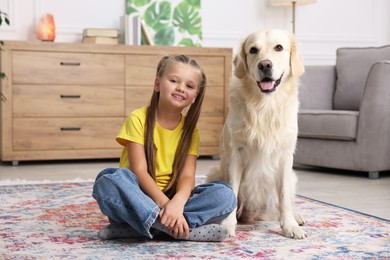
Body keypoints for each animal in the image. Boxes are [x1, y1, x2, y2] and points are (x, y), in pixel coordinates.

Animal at [209, 29, 306, 239]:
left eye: (279, 47)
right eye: (253, 50)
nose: (265, 65)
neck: (264, 105)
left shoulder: (285, 155)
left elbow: (284, 197)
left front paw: (290, 225)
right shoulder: (236, 152)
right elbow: (232, 192)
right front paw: (227, 225)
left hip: (292, 177)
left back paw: (296, 217)